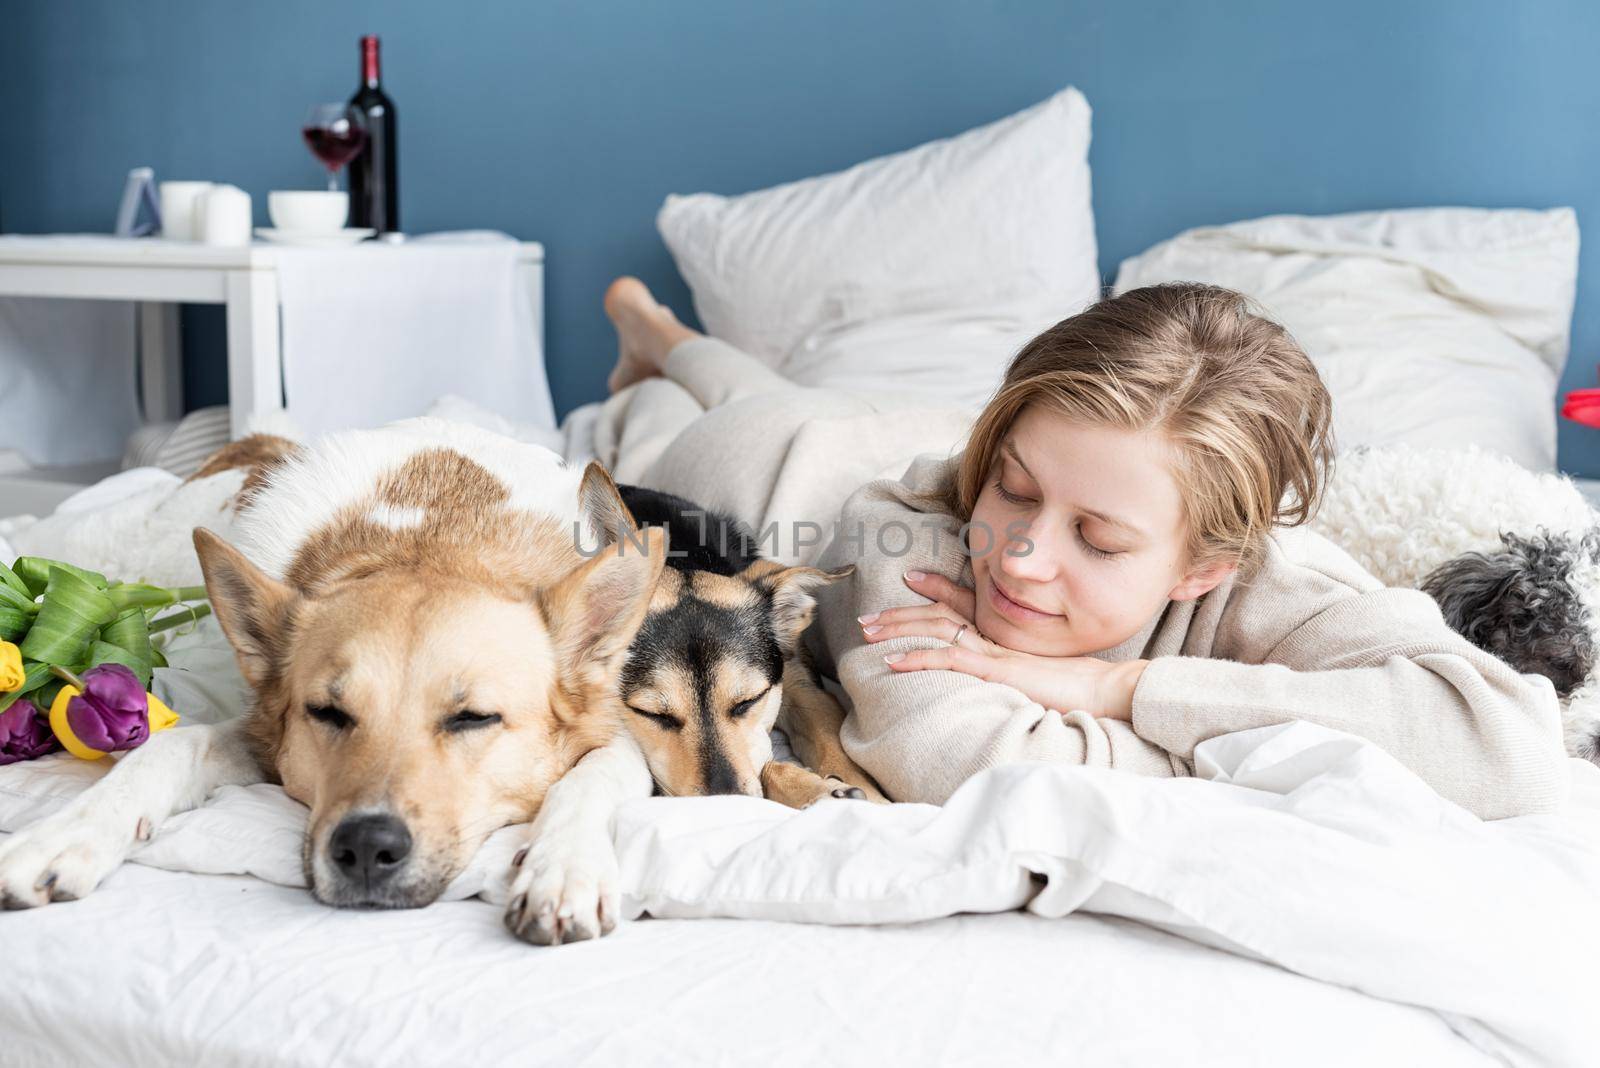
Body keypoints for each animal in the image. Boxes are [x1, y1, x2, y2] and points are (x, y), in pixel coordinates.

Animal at [0, 415, 662, 940]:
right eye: (328, 713)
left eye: (473, 718)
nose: (367, 848)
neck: (431, 542)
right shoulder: (264, 732)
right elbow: (170, 748)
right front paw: (64, 836)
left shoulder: (619, 736)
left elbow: (588, 780)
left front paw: (563, 868)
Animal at [611, 486, 889, 808]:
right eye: (653, 715)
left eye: (749, 701)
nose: (726, 802)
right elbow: (766, 766)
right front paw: (818, 789)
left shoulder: (797, 680)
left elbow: (825, 733)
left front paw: (868, 795)